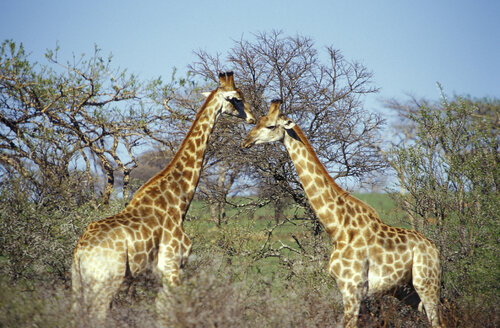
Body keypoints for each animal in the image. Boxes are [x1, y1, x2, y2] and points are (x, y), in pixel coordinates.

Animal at [71, 71, 254, 322]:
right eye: (237, 98)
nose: (253, 118)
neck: (178, 200)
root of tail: (80, 252)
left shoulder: (158, 277)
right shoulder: (173, 267)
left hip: (80, 285)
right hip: (105, 282)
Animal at [242, 100, 442, 328]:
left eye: (270, 126)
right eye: (258, 121)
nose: (246, 141)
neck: (338, 228)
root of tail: (434, 248)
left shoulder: (352, 289)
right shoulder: (352, 291)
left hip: (427, 284)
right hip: (407, 292)